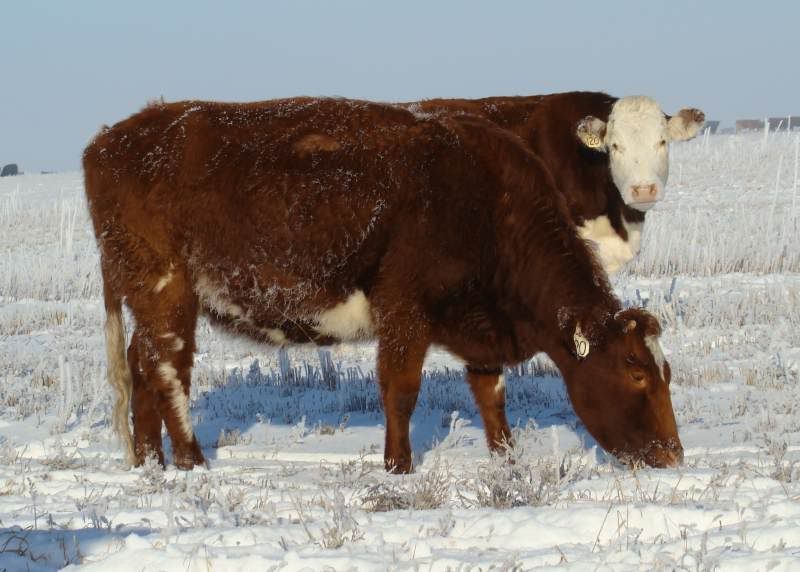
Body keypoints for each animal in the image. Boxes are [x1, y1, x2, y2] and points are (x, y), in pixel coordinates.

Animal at [83, 97, 682, 474]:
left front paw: (506, 459)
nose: (674, 455)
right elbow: (401, 391)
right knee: (168, 370)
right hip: (167, 290)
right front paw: (399, 467)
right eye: (634, 371)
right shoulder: (404, 311)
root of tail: (112, 138)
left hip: (148, 297)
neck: (489, 201)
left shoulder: (479, 325)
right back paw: (192, 461)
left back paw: (150, 462)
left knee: (141, 365)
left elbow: (491, 395)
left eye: (666, 373)